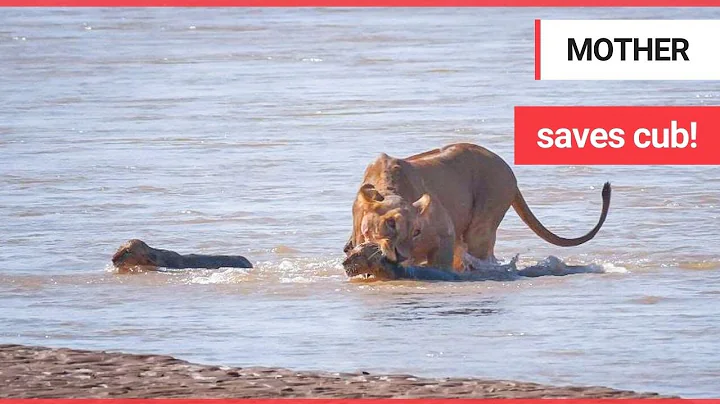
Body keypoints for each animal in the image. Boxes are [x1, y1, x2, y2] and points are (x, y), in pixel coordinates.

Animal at [343, 143, 611, 272]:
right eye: (390, 224)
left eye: (416, 231)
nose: (401, 256)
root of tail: (507, 169)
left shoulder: (445, 230)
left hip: (483, 222)